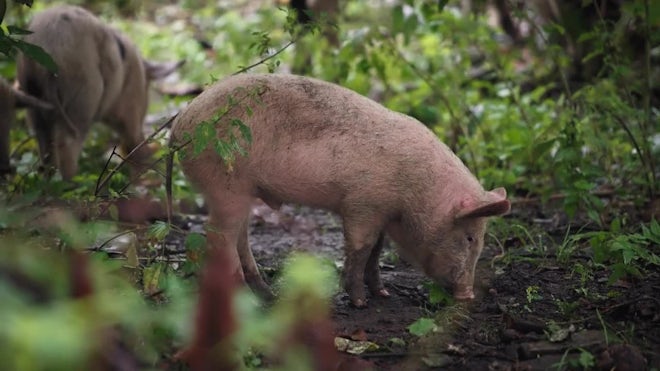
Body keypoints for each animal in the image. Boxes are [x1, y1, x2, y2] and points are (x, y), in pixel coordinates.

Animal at [18, 5, 182, 181]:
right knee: (67, 144)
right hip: (83, 93)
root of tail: (49, 43)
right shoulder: (131, 106)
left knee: (44, 146)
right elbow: (133, 140)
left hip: (32, 96)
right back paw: (73, 183)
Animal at [170, 73, 510, 308]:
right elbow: (360, 247)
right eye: (470, 237)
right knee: (218, 236)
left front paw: (383, 294)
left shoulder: (381, 212)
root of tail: (179, 127)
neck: (414, 191)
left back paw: (268, 295)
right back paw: (246, 297)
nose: (468, 295)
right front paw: (360, 302)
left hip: (240, 191)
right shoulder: (362, 203)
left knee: (238, 236)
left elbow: (376, 250)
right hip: (225, 183)